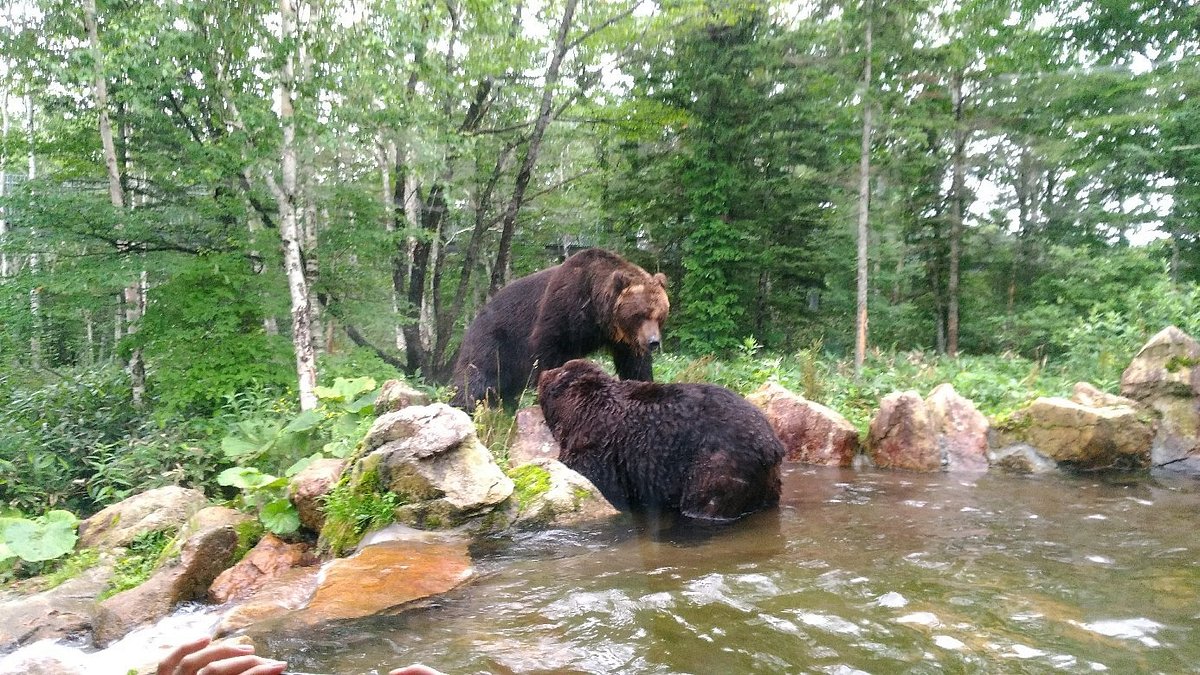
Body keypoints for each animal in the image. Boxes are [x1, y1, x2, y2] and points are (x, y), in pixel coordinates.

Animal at [450, 248, 669, 411]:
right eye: (639, 314)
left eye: (660, 315)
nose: (653, 342)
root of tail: (477, 316)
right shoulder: (563, 308)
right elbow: (550, 351)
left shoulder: (622, 338)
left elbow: (634, 363)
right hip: (494, 339)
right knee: (476, 374)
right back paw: (464, 405)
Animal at [537, 359, 785, 522]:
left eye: (557, 371)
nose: (543, 371)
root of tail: (772, 444)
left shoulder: (600, 448)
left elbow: (598, 482)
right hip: (768, 481)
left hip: (718, 462)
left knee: (706, 499)